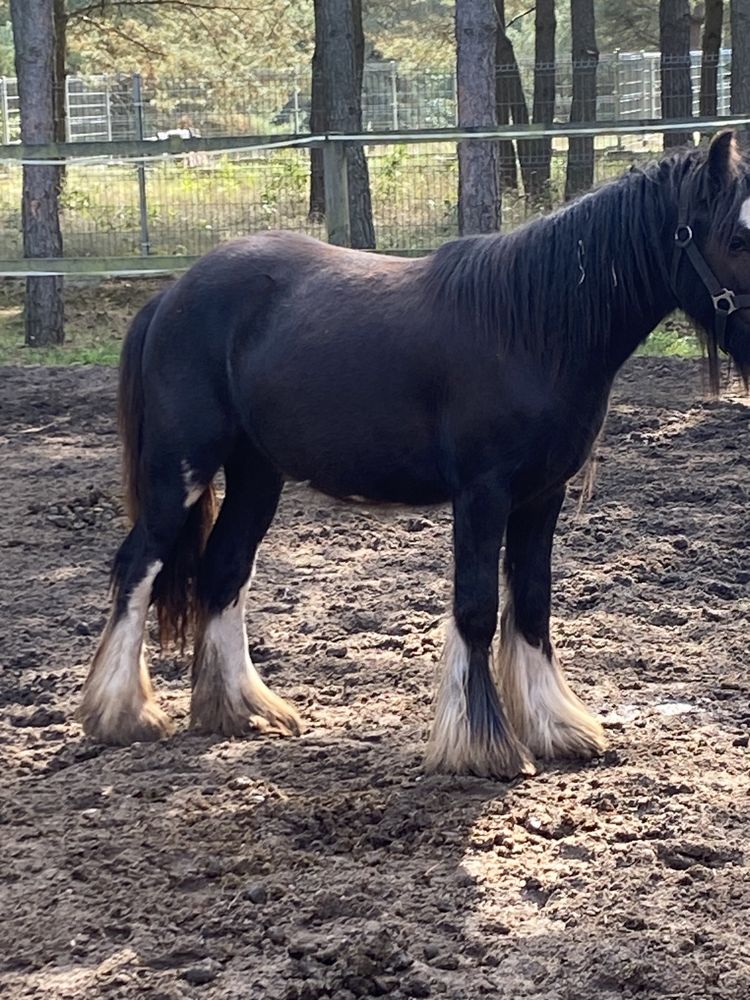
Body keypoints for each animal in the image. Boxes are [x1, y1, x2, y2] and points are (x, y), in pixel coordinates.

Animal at [79, 129, 750, 776]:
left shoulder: (541, 495)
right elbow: (477, 608)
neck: (532, 328)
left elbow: (532, 602)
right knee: (139, 565)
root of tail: (171, 296)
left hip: (256, 475)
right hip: (180, 470)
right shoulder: (483, 494)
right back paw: (123, 714)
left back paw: (241, 710)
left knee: (224, 568)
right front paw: (482, 748)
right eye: (739, 237)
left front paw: (556, 728)